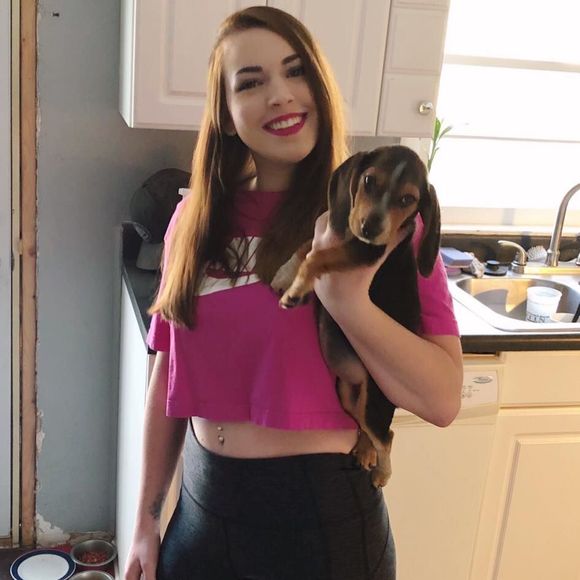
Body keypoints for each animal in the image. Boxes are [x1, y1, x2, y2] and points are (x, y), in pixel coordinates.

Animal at [271, 145, 441, 487]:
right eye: (368, 180)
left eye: (408, 199)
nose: (370, 228)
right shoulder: (334, 234)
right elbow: (306, 246)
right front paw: (285, 274)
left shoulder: (366, 251)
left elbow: (317, 257)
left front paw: (295, 290)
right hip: (350, 395)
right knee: (367, 429)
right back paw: (364, 450)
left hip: (375, 401)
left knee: (386, 437)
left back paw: (382, 472)